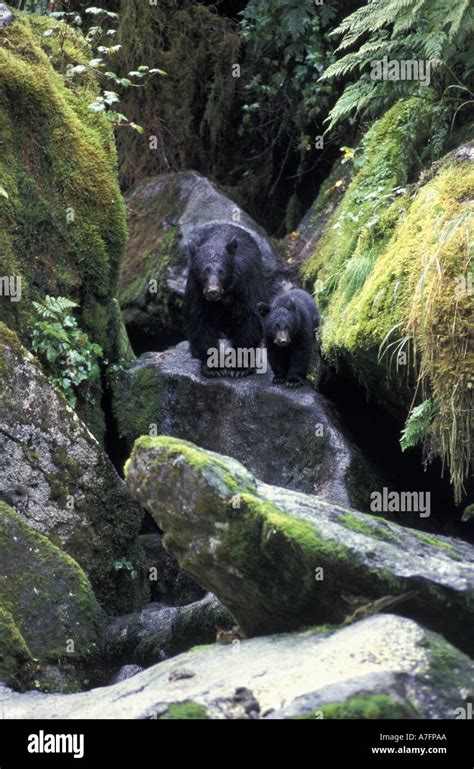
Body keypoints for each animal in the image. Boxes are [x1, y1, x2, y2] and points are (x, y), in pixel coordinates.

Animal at [184, 222, 268, 378]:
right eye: (204, 272)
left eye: (222, 272)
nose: (213, 292)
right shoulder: (196, 288)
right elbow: (199, 320)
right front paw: (213, 367)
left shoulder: (246, 284)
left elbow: (250, 319)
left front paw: (239, 367)